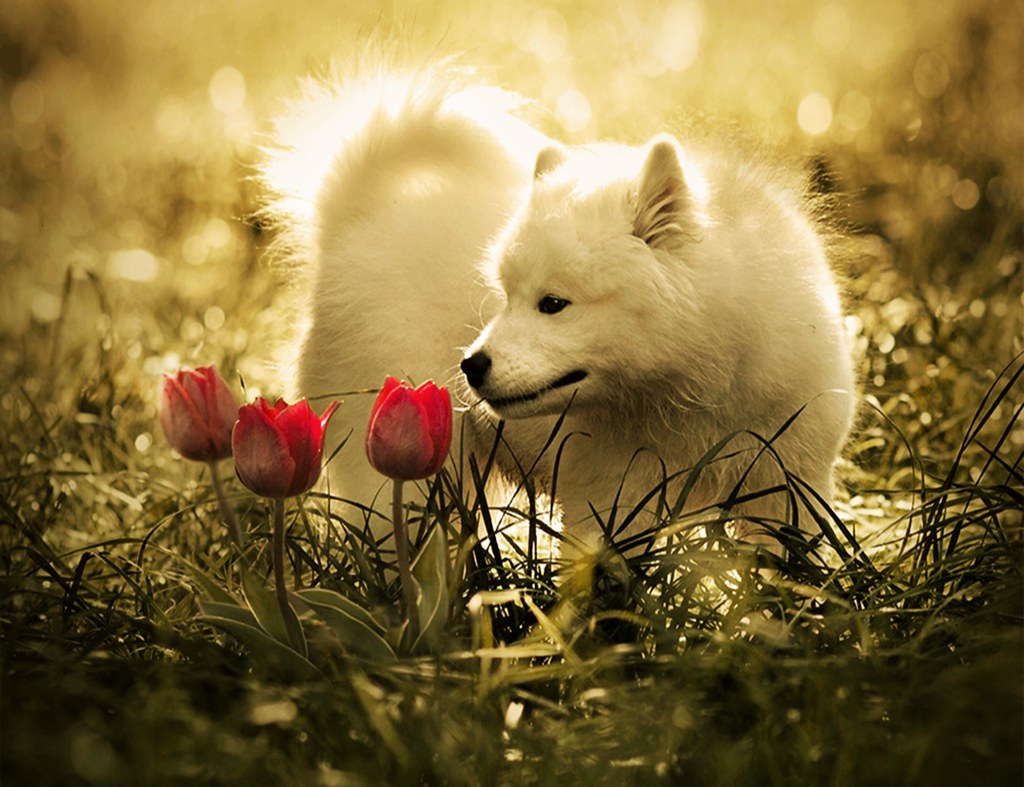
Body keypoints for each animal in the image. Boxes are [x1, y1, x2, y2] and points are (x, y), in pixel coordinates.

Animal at [263, 64, 857, 554]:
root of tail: (350, 223)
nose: (470, 366)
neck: (696, 388)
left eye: (553, 304)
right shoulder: (610, 501)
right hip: (403, 473)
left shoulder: (788, 490)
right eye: (505, 296)